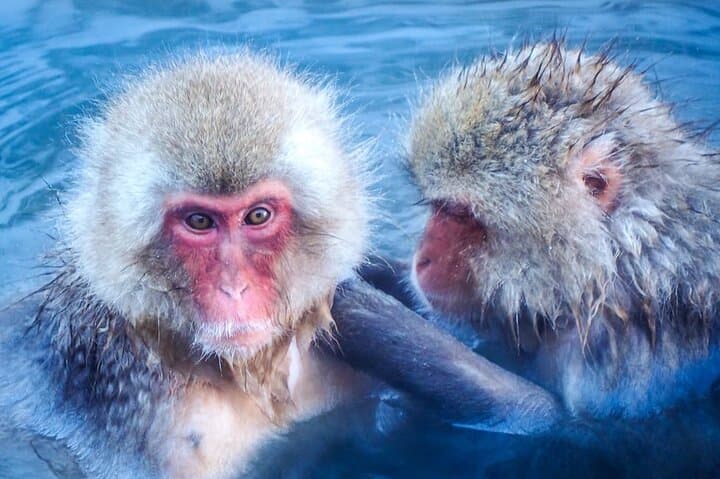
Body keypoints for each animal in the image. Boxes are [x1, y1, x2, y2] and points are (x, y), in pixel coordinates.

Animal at [344, 40, 720, 429]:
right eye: (437, 206)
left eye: (460, 213)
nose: (422, 259)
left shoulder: (627, 347)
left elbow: (556, 420)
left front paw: (365, 315)